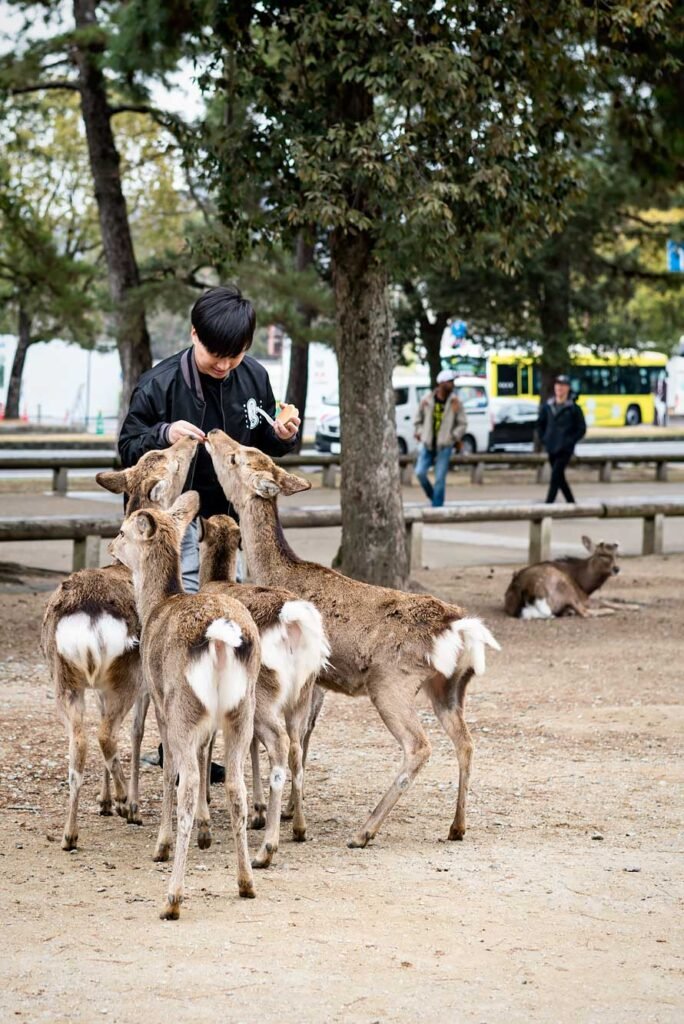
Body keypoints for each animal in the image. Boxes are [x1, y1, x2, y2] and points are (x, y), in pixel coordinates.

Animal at [41, 437, 198, 852]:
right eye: (172, 461)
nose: (191, 438)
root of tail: (87, 615)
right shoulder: (145, 683)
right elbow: (139, 732)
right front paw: (124, 801)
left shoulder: (100, 686)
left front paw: (104, 801)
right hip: (123, 675)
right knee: (106, 735)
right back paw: (131, 806)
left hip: (64, 678)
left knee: (80, 741)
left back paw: (71, 832)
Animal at [109, 491, 261, 920]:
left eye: (123, 531)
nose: (111, 547)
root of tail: (221, 636)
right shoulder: (208, 724)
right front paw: (207, 834)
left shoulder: (162, 706)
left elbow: (168, 773)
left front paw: (160, 845)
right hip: (242, 708)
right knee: (236, 785)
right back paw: (246, 882)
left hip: (184, 706)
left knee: (188, 784)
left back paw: (172, 897)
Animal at [198, 514, 329, 867]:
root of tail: (292, 620)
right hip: (302, 692)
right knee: (295, 745)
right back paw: (298, 826)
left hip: (263, 694)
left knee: (279, 743)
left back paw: (267, 846)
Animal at [504, 535, 635, 619]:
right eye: (602, 554)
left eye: (617, 555)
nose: (616, 568)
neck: (585, 585)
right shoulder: (582, 597)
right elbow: (603, 600)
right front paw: (634, 606)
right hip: (565, 586)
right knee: (585, 613)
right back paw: (608, 611)